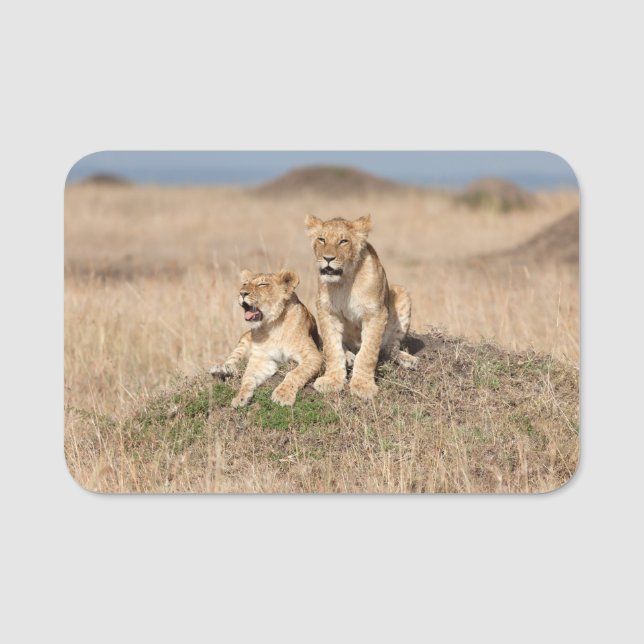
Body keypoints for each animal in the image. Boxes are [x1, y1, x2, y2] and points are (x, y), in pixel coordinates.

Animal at [209, 269, 323, 407]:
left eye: (262, 284)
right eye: (245, 284)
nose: (242, 293)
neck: (273, 325)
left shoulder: (313, 355)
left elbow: (295, 373)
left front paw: (282, 395)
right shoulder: (262, 359)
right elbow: (247, 378)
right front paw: (240, 397)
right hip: (243, 340)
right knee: (232, 360)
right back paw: (220, 370)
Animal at [304, 213, 418, 400]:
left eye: (343, 241)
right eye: (322, 239)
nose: (328, 258)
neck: (344, 281)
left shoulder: (376, 314)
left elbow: (368, 353)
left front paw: (363, 386)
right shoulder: (327, 311)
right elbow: (332, 348)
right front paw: (332, 380)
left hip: (401, 293)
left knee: (390, 348)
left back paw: (408, 360)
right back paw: (348, 356)